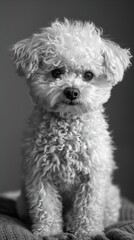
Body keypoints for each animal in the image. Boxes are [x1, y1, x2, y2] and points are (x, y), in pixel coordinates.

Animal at [11, 19, 131, 240]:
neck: (68, 127)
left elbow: (88, 208)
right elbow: (46, 206)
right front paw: (49, 231)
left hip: (110, 197)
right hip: (22, 203)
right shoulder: (40, 176)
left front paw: (88, 232)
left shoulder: (93, 176)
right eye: (56, 72)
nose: (72, 91)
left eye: (89, 75)